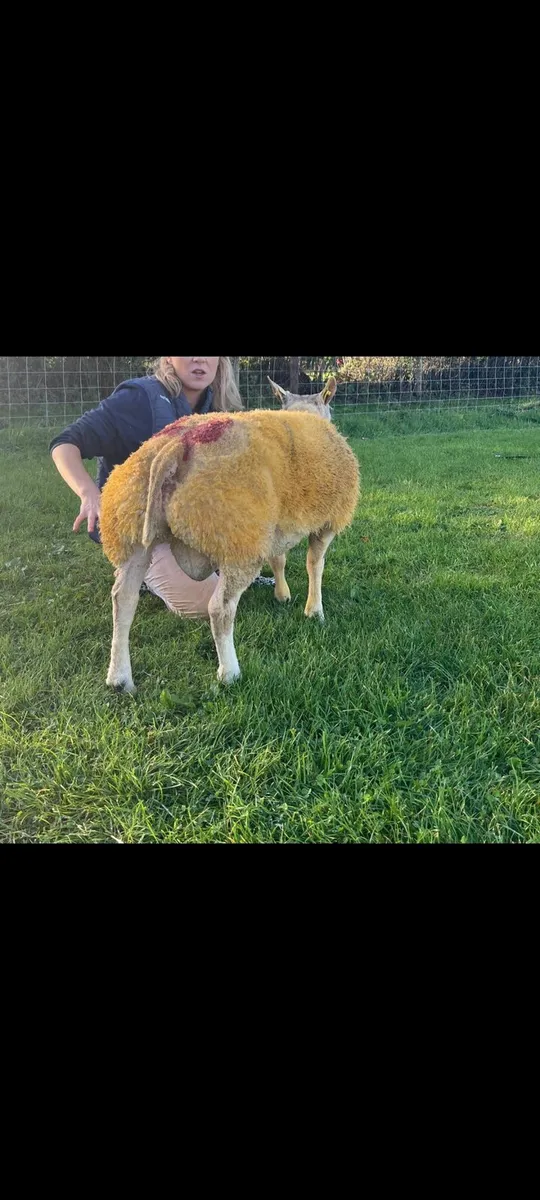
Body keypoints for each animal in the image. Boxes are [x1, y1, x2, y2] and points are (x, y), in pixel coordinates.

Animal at [100, 377, 360, 692]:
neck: (304, 414)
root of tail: (175, 445)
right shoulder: (327, 522)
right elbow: (315, 565)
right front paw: (314, 611)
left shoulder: (273, 527)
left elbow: (279, 560)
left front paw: (282, 594)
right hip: (237, 539)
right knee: (219, 609)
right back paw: (229, 673)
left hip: (133, 532)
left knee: (123, 600)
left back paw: (119, 678)